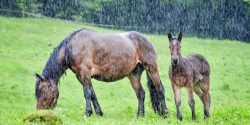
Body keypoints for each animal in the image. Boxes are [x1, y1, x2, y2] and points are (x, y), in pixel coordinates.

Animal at [34, 28, 169, 117]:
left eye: (43, 93)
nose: (40, 112)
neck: (72, 47)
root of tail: (147, 40)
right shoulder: (81, 76)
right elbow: (92, 94)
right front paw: (98, 113)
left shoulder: (85, 73)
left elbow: (87, 94)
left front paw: (87, 113)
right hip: (133, 74)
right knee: (141, 93)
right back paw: (140, 115)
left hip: (152, 68)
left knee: (160, 89)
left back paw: (165, 113)